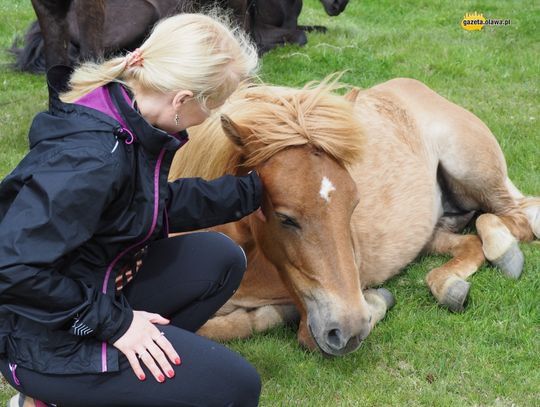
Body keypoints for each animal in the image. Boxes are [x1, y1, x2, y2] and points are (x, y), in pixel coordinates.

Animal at [169, 77, 540, 356]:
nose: (349, 330)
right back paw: (452, 285)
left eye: (353, 204)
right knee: (468, 242)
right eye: (285, 217)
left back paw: (504, 252)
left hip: (475, 172)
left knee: (518, 216)